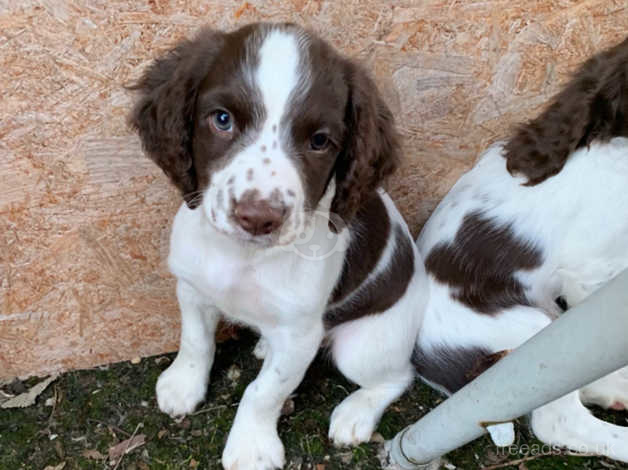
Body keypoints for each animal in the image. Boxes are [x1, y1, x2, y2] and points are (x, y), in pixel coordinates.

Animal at [130, 24, 430, 470]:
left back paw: (355, 414)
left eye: (320, 141)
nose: (257, 217)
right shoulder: (193, 288)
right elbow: (196, 341)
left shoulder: (299, 336)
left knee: (397, 376)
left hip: (364, 346)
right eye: (222, 120)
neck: (244, 256)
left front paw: (250, 447)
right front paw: (183, 385)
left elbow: (263, 392)